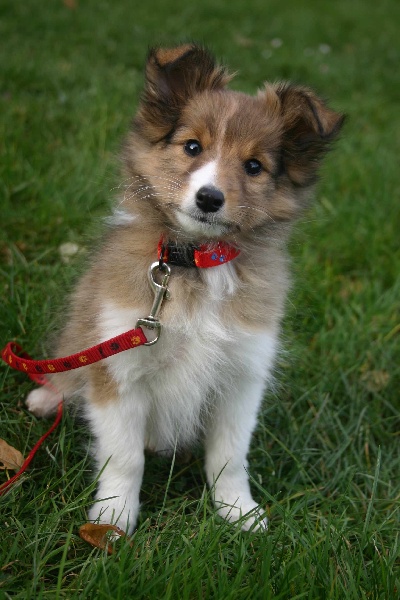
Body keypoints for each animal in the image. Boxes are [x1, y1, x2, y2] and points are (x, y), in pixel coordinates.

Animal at [25, 44, 344, 532]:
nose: (210, 198)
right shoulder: (119, 367)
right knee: (68, 363)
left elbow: (229, 457)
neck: (195, 264)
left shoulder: (240, 377)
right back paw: (46, 396)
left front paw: (238, 511)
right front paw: (113, 519)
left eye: (254, 166)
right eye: (192, 146)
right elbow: (125, 458)